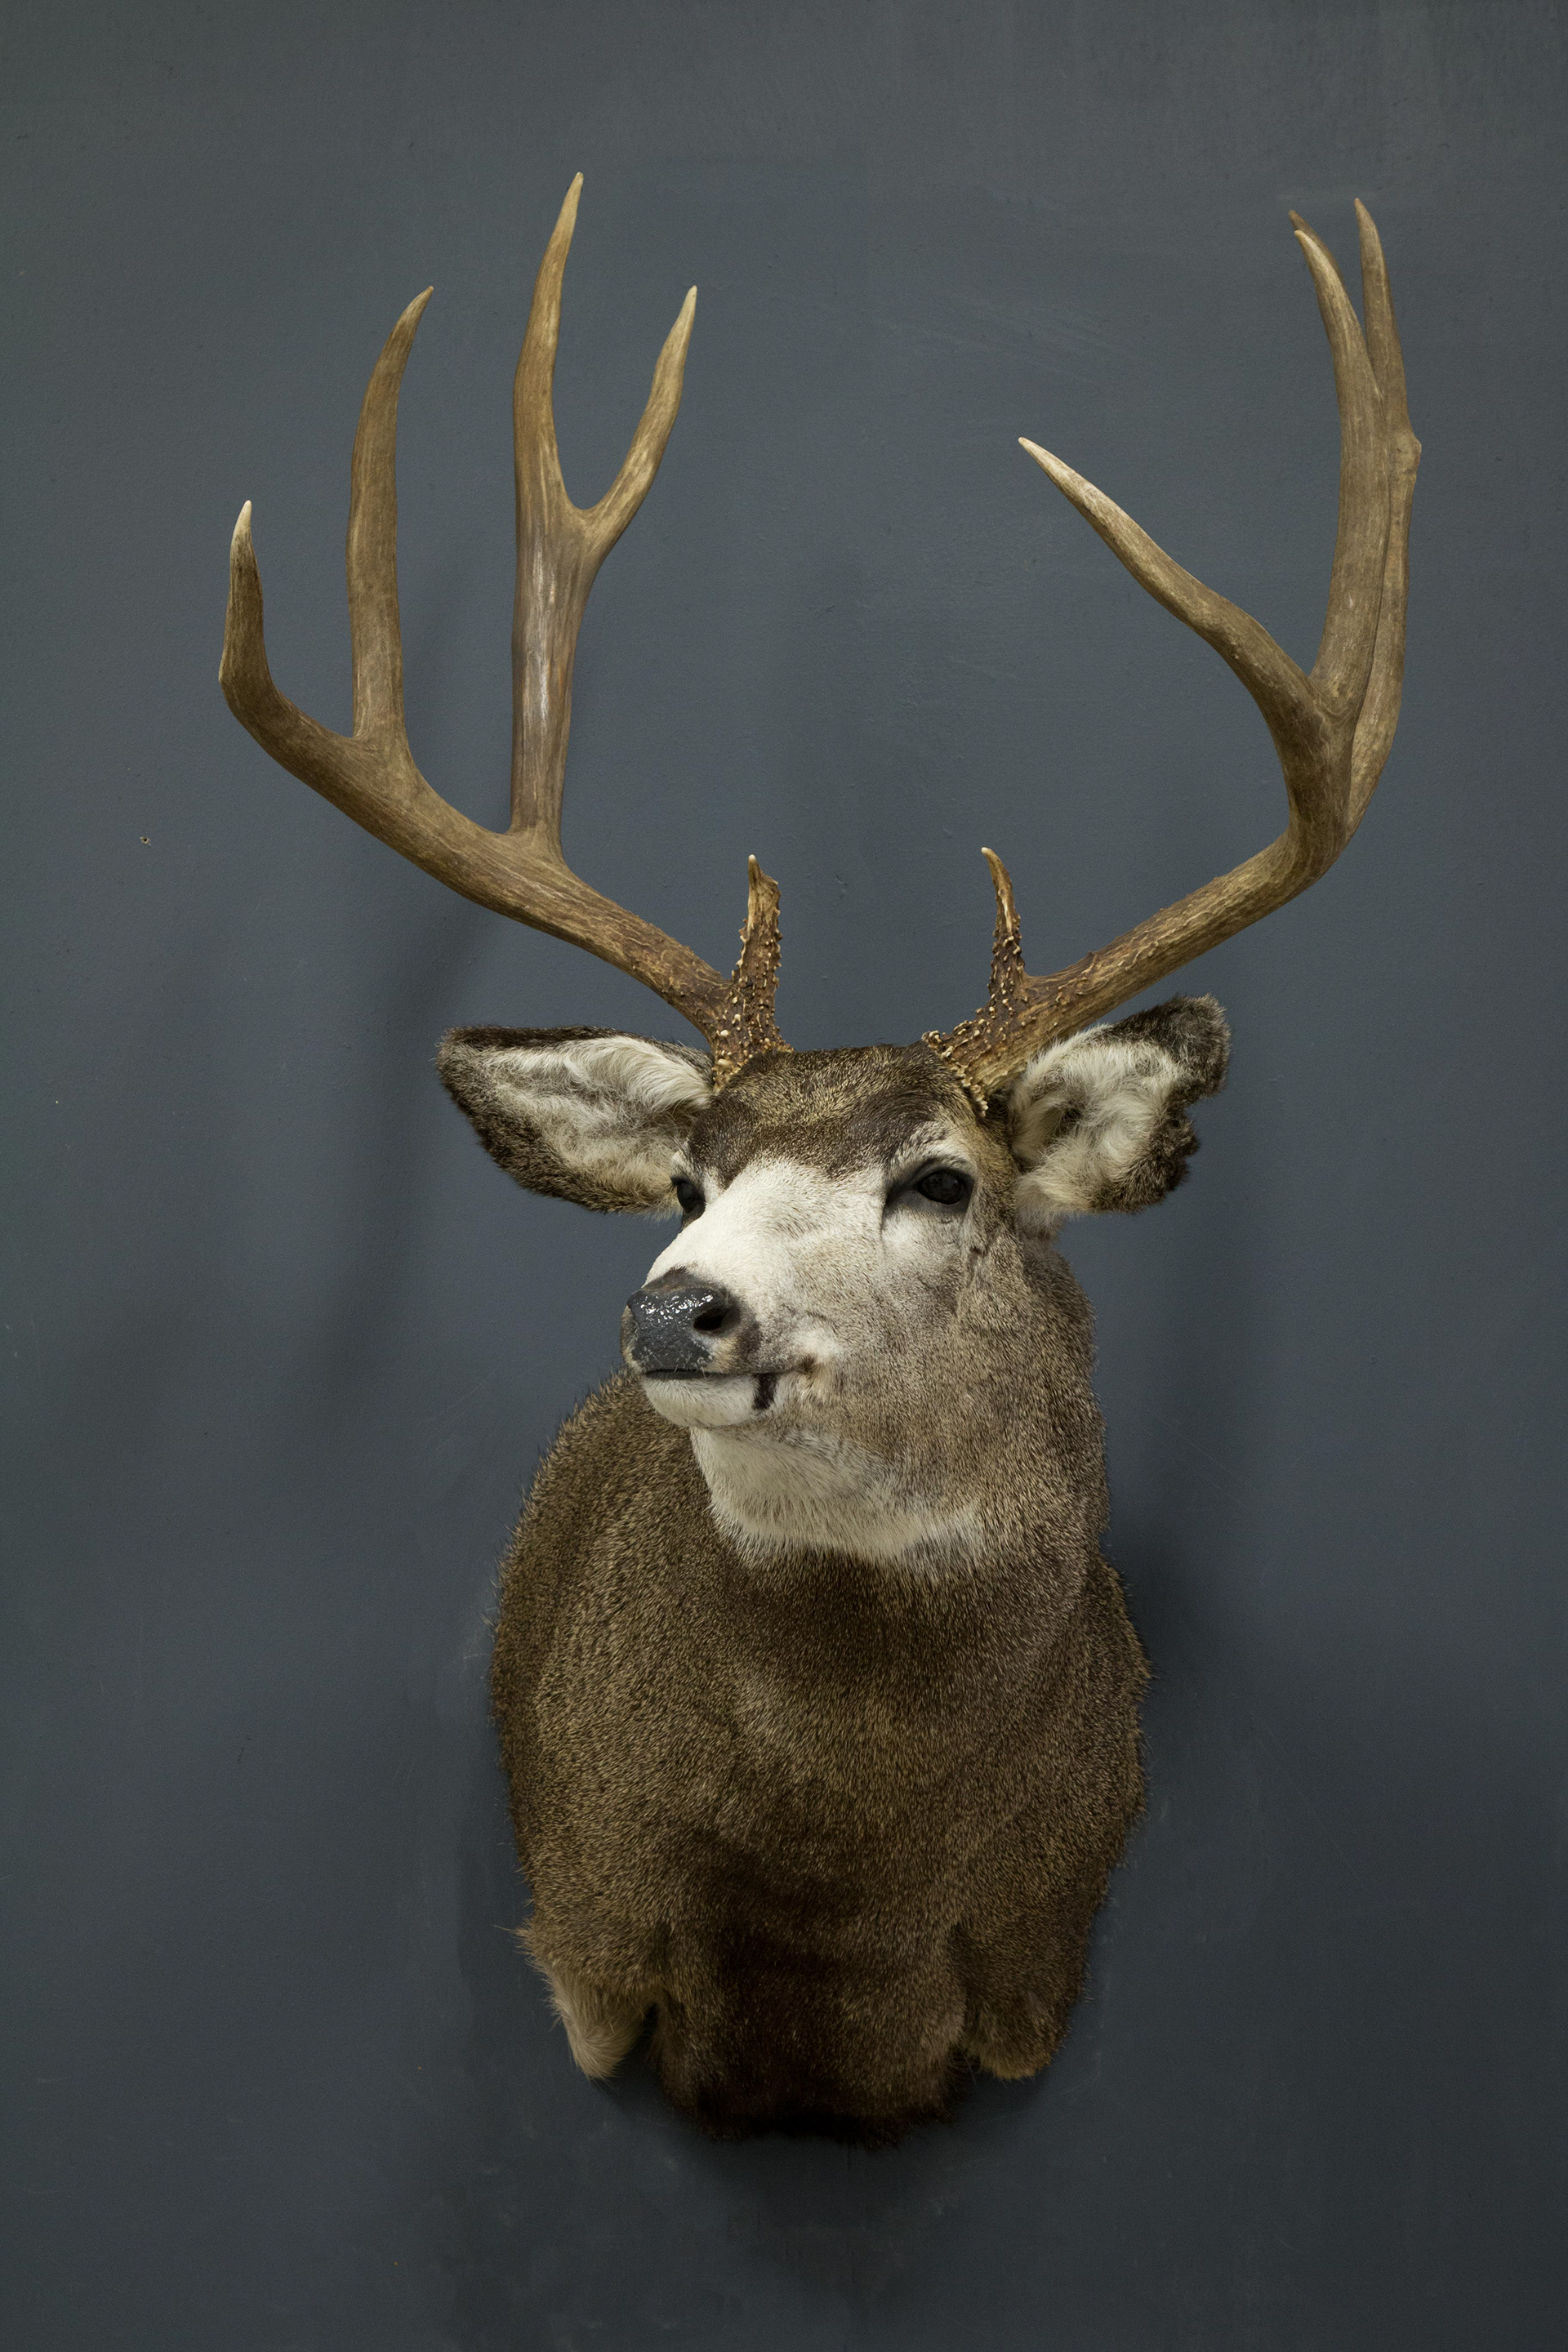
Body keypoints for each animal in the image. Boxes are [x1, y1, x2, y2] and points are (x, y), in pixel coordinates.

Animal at [219, 180, 1418, 2145]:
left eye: (941, 1179)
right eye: (688, 1181)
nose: (674, 1310)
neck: (843, 1911)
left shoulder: (1037, 1959)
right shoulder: (584, 1938)